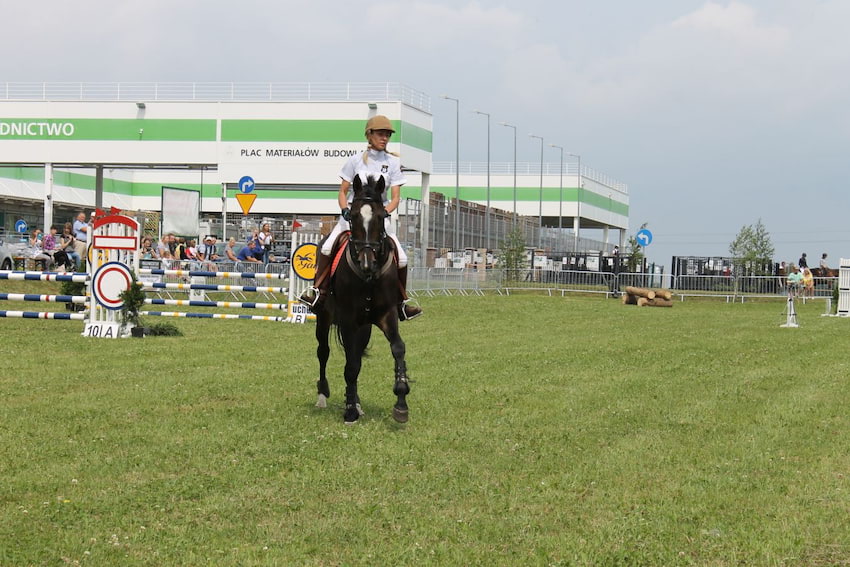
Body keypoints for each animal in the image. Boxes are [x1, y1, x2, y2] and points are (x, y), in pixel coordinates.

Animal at [314, 175, 410, 424]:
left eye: (381, 216)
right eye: (354, 215)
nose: (367, 262)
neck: (369, 276)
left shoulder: (387, 315)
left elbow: (398, 348)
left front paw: (401, 402)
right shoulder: (348, 320)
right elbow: (351, 365)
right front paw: (349, 410)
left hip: (365, 328)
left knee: (355, 354)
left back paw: (356, 401)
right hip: (324, 318)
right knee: (323, 351)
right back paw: (323, 395)